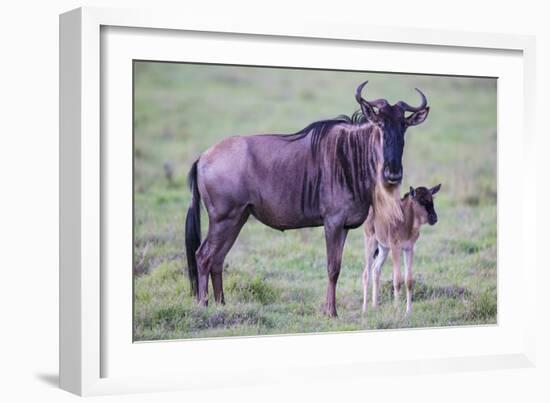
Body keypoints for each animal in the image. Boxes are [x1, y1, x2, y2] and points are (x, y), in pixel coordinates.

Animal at [364, 185, 442, 316]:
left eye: (432, 198)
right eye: (421, 200)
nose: (434, 218)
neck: (405, 221)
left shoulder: (409, 248)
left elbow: (409, 280)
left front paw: (409, 311)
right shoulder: (396, 248)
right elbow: (397, 280)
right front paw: (397, 310)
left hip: (384, 248)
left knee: (376, 269)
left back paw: (375, 307)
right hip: (371, 242)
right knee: (366, 273)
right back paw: (364, 309)